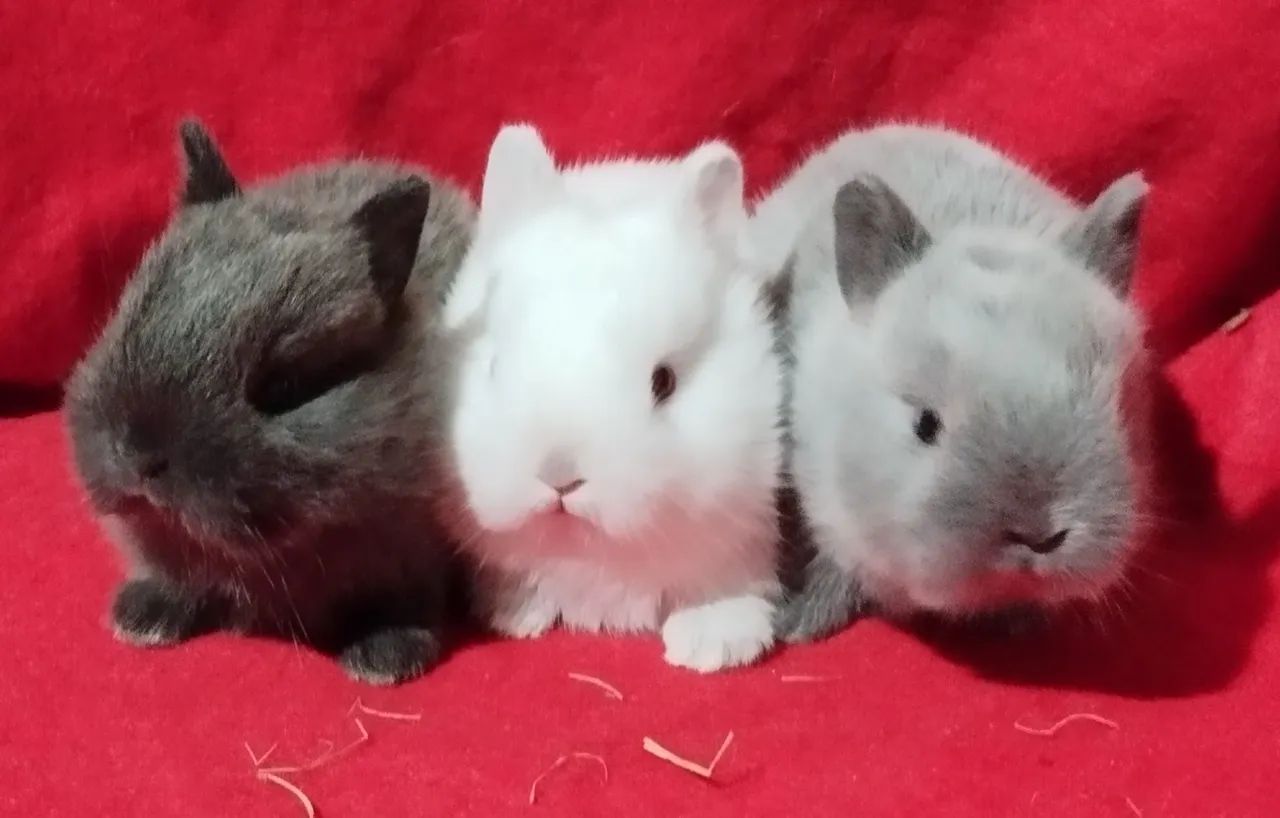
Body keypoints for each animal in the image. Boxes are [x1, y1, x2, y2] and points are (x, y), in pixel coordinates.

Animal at [64, 120, 475, 684]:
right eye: (129, 319)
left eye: (286, 385)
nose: (139, 457)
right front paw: (142, 618)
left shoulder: (415, 554)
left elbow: (405, 604)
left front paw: (385, 657)